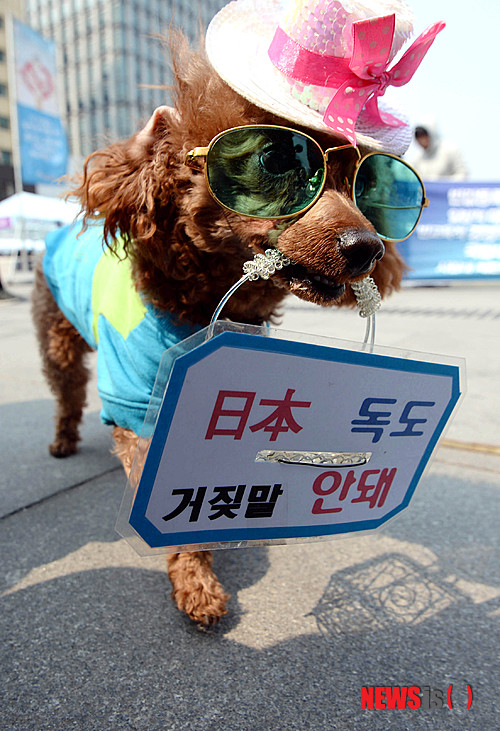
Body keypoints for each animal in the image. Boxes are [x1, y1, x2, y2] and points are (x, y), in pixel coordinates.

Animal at [31, 0, 442, 628]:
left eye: (367, 183)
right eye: (276, 159)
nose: (368, 247)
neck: (200, 298)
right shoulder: (136, 399)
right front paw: (197, 582)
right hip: (56, 334)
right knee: (67, 389)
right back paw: (61, 439)